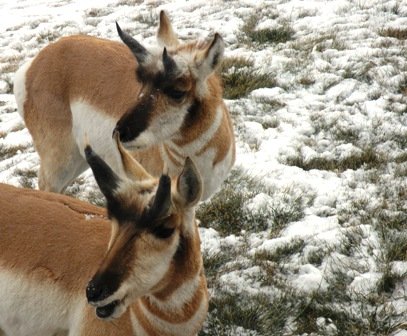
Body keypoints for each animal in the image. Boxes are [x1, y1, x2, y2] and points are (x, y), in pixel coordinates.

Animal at [14, 10, 236, 200]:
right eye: (142, 81)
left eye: (177, 91)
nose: (120, 132)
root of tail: (34, 64)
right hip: (61, 162)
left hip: (79, 159)